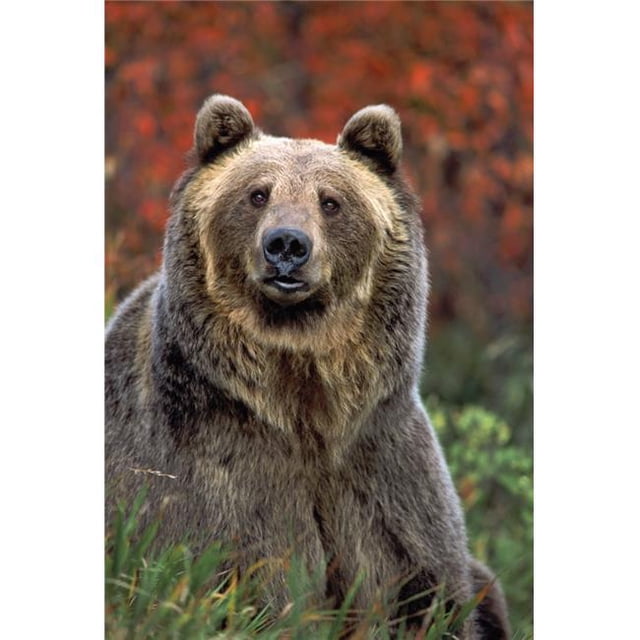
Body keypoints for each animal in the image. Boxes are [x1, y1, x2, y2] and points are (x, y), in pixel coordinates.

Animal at [105, 94, 510, 638]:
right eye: (257, 194)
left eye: (331, 201)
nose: (287, 244)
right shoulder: (213, 469)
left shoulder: (383, 472)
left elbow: (430, 592)